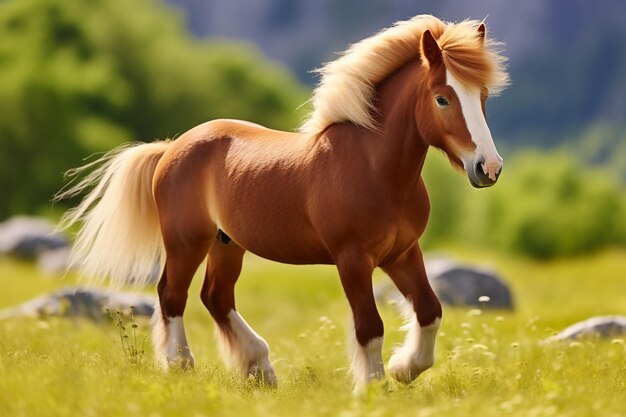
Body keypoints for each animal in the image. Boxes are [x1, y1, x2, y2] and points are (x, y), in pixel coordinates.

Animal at [57, 14, 508, 392]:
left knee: (216, 297)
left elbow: (430, 311)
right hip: (187, 241)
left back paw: (259, 369)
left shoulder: (402, 252)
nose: (488, 168)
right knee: (172, 295)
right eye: (442, 98)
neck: (373, 168)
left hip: (226, 243)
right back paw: (182, 366)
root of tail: (171, 148)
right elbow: (369, 326)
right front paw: (372, 388)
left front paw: (402, 369)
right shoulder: (353, 258)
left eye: (483, 96)